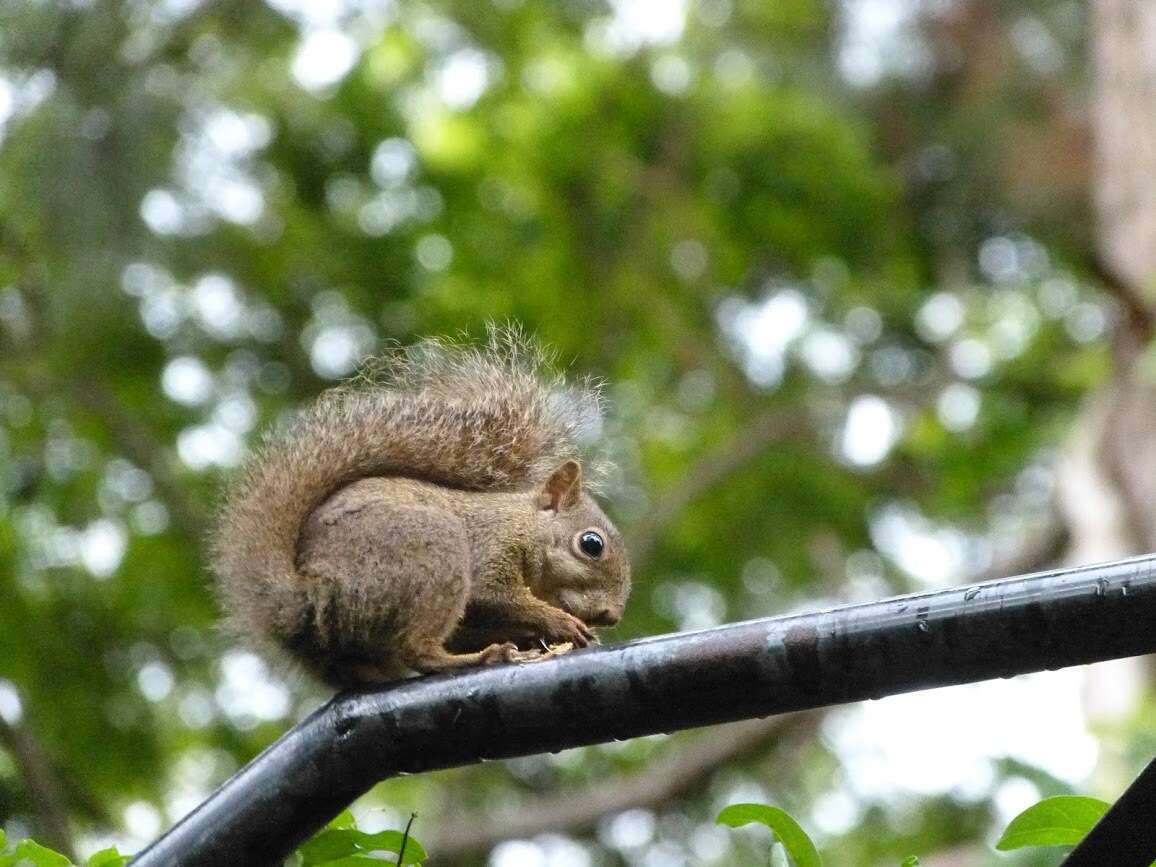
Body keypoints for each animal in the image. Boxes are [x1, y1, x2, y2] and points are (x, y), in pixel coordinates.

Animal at [212, 328, 638, 688]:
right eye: (591, 544)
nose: (610, 616)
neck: (521, 523)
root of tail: (308, 593)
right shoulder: (492, 546)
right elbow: (490, 595)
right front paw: (558, 621)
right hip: (431, 549)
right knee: (417, 650)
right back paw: (476, 658)